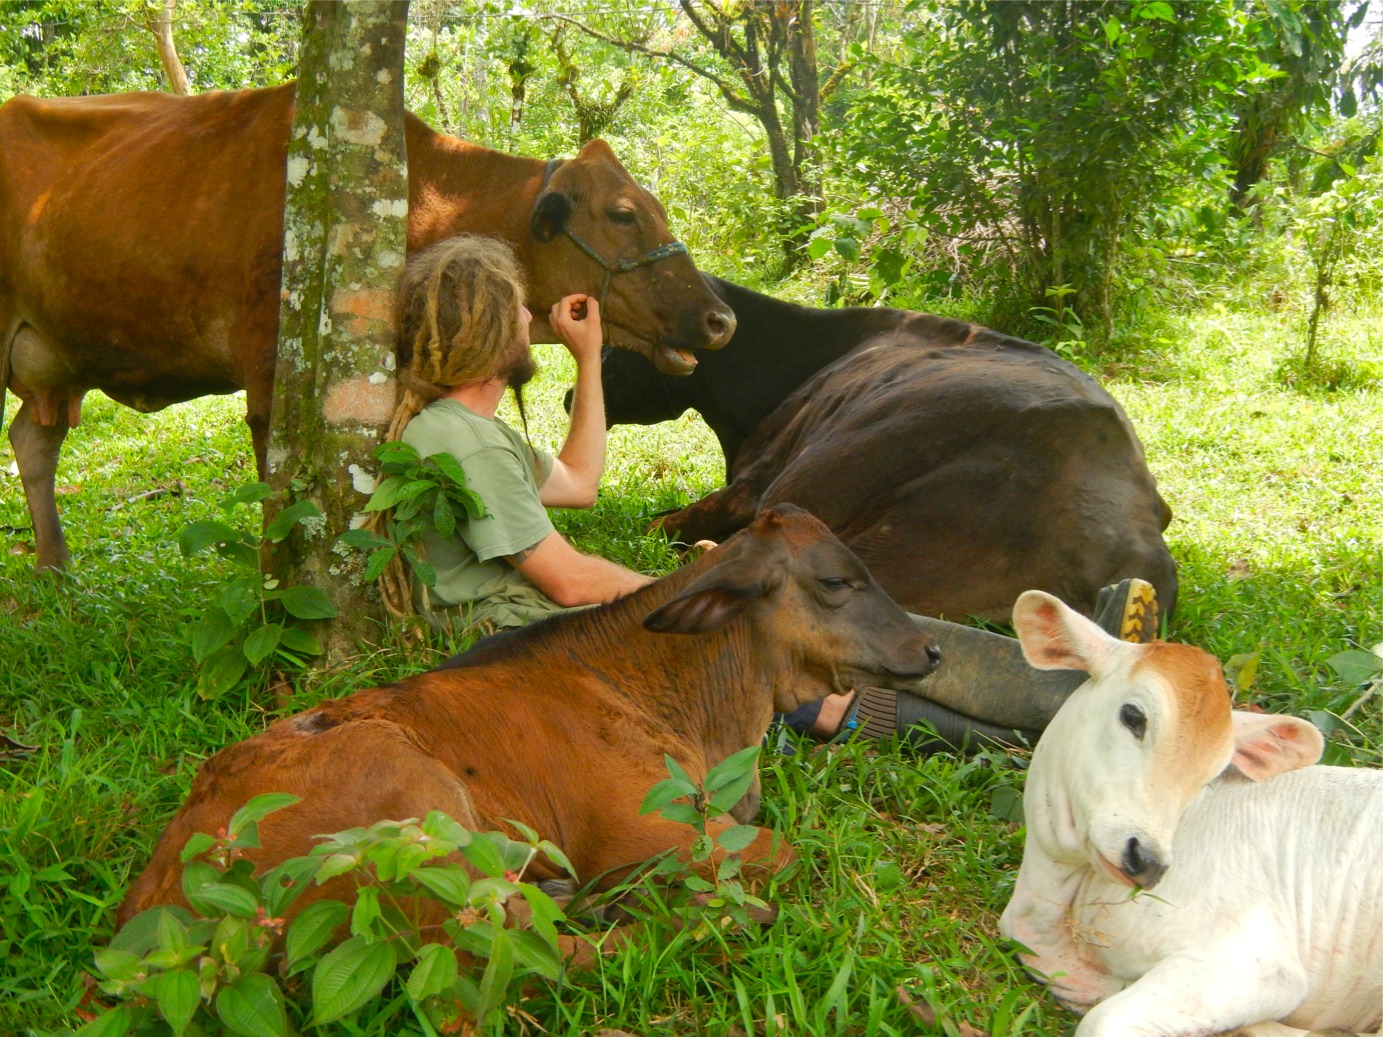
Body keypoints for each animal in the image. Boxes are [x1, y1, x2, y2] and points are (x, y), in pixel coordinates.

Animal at [0, 82, 735, 572]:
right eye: (622, 214)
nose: (719, 318)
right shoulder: (272, 368)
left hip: (53, 360)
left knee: (32, 440)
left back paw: (55, 569)